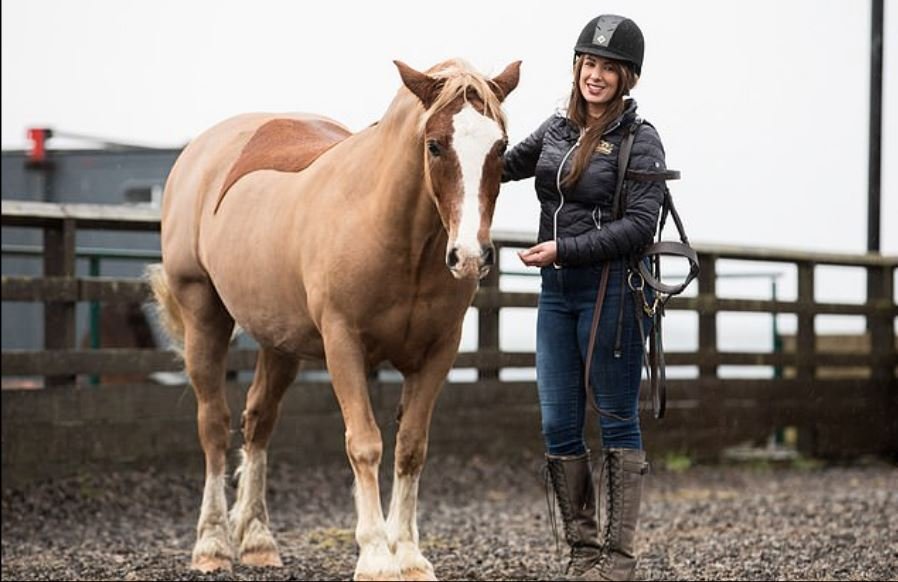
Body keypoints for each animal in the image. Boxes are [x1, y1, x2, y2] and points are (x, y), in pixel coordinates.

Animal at [149, 57, 520, 580]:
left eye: (500, 146)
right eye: (434, 145)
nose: (470, 256)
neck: (393, 232)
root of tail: (198, 154)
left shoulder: (438, 352)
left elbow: (411, 447)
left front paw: (409, 556)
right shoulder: (343, 345)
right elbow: (364, 443)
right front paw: (375, 557)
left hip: (279, 342)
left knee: (258, 420)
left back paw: (258, 539)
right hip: (204, 315)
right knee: (215, 425)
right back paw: (213, 545)